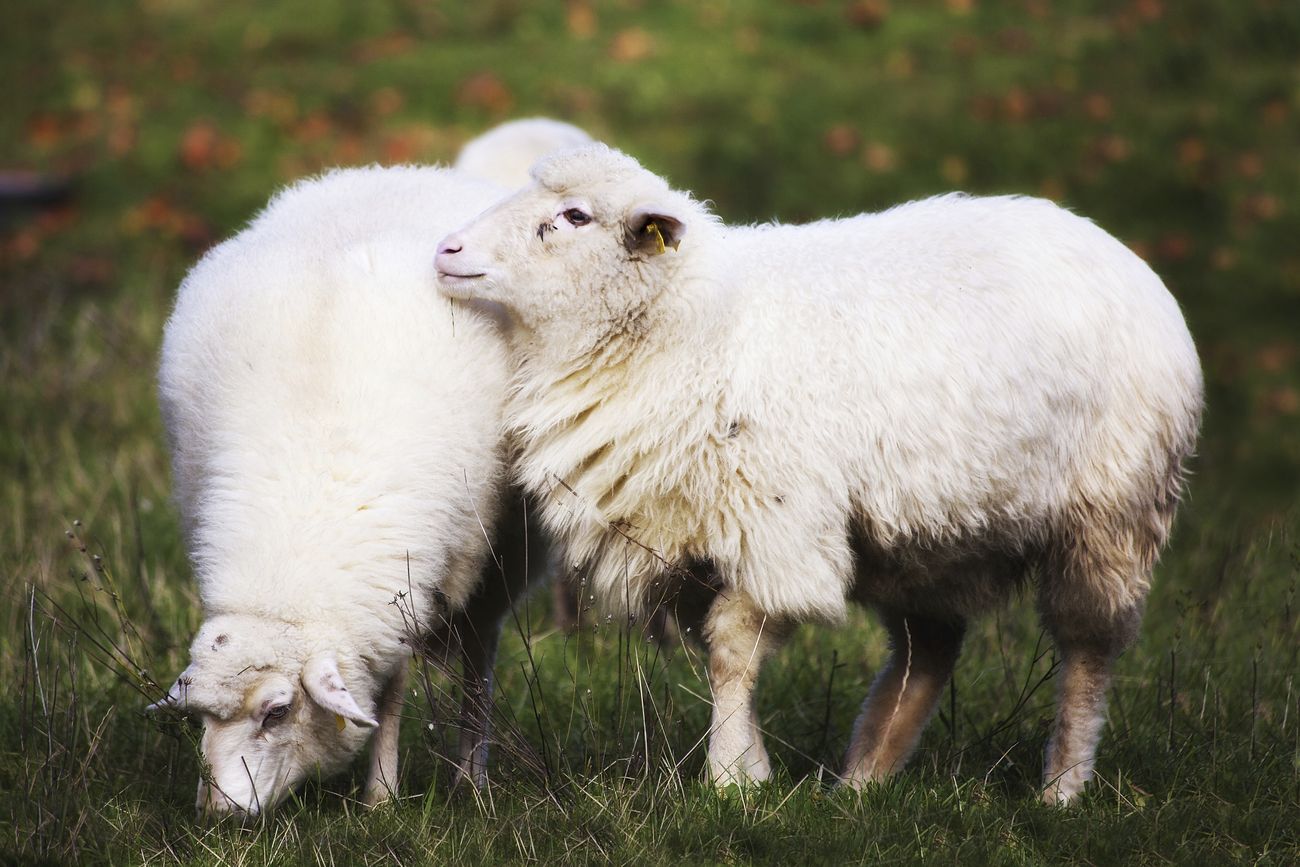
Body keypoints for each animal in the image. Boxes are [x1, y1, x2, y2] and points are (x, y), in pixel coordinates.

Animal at [152, 164, 538, 817]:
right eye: (201, 719)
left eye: (277, 712)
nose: (219, 812)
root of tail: (397, 172)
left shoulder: (410, 582)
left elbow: (393, 691)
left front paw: (380, 797)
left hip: (502, 553)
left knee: (479, 651)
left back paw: (470, 776)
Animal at [433, 144, 1204, 804]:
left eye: (575, 216)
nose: (447, 250)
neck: (692, 328)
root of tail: (1107, 243)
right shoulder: (692, 531)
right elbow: (720, 650)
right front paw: (751, 770)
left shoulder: (775, 525)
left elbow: (730, 654)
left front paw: (730, 778)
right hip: (932, 532)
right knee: (928, 652)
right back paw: (863, 781)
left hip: (1109, 513)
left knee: (1086, 651)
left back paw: (1061, 788)